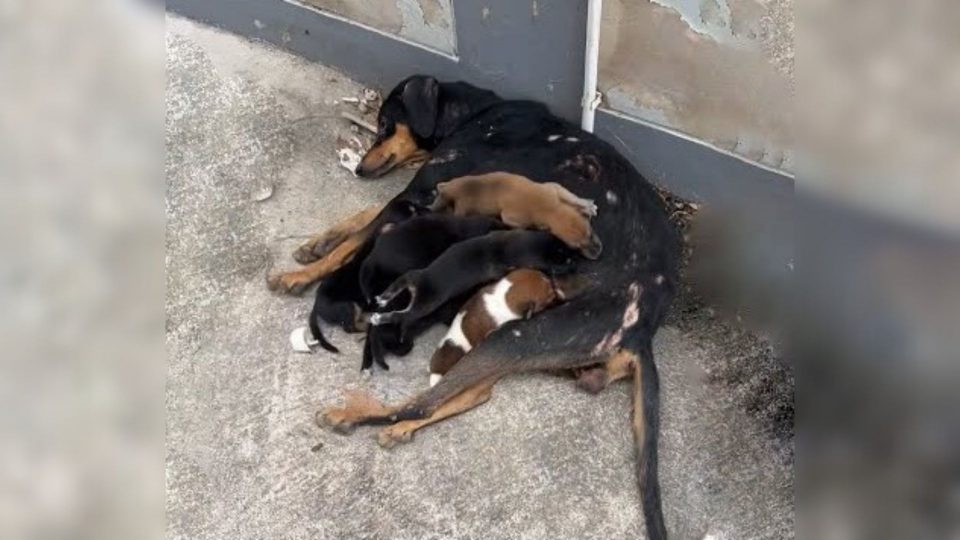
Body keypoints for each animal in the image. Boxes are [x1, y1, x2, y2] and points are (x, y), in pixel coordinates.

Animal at [368, 230, 576, 336]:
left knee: (396, 286)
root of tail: (420, 282)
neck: (509, 247)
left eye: (564, 247)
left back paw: (383, 298)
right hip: (425, 304)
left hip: (410, 277)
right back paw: (379, 318)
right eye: (563, 262)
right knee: (402, 316)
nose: (575, 260)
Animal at [434, 171, 604, 260]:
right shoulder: (510, 217)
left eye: (590, 233)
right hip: (463, 209)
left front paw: (586, 205)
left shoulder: (554, 187)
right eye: (575, 247)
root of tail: (450, 191)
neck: (551, 209)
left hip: (459, 181)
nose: (598, 253)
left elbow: (571, 197)